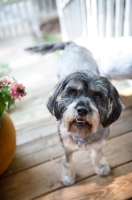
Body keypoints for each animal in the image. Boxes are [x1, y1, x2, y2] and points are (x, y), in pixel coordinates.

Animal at [26, 41, 124, 186]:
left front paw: (100, 166)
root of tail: (71, 43)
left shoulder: (99, 143)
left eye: (98, 97)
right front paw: (68, 175)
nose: (82, 110)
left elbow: (97, 154)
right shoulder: (66, 147)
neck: (82, 134)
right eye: (72, 92)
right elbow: (68, 162)